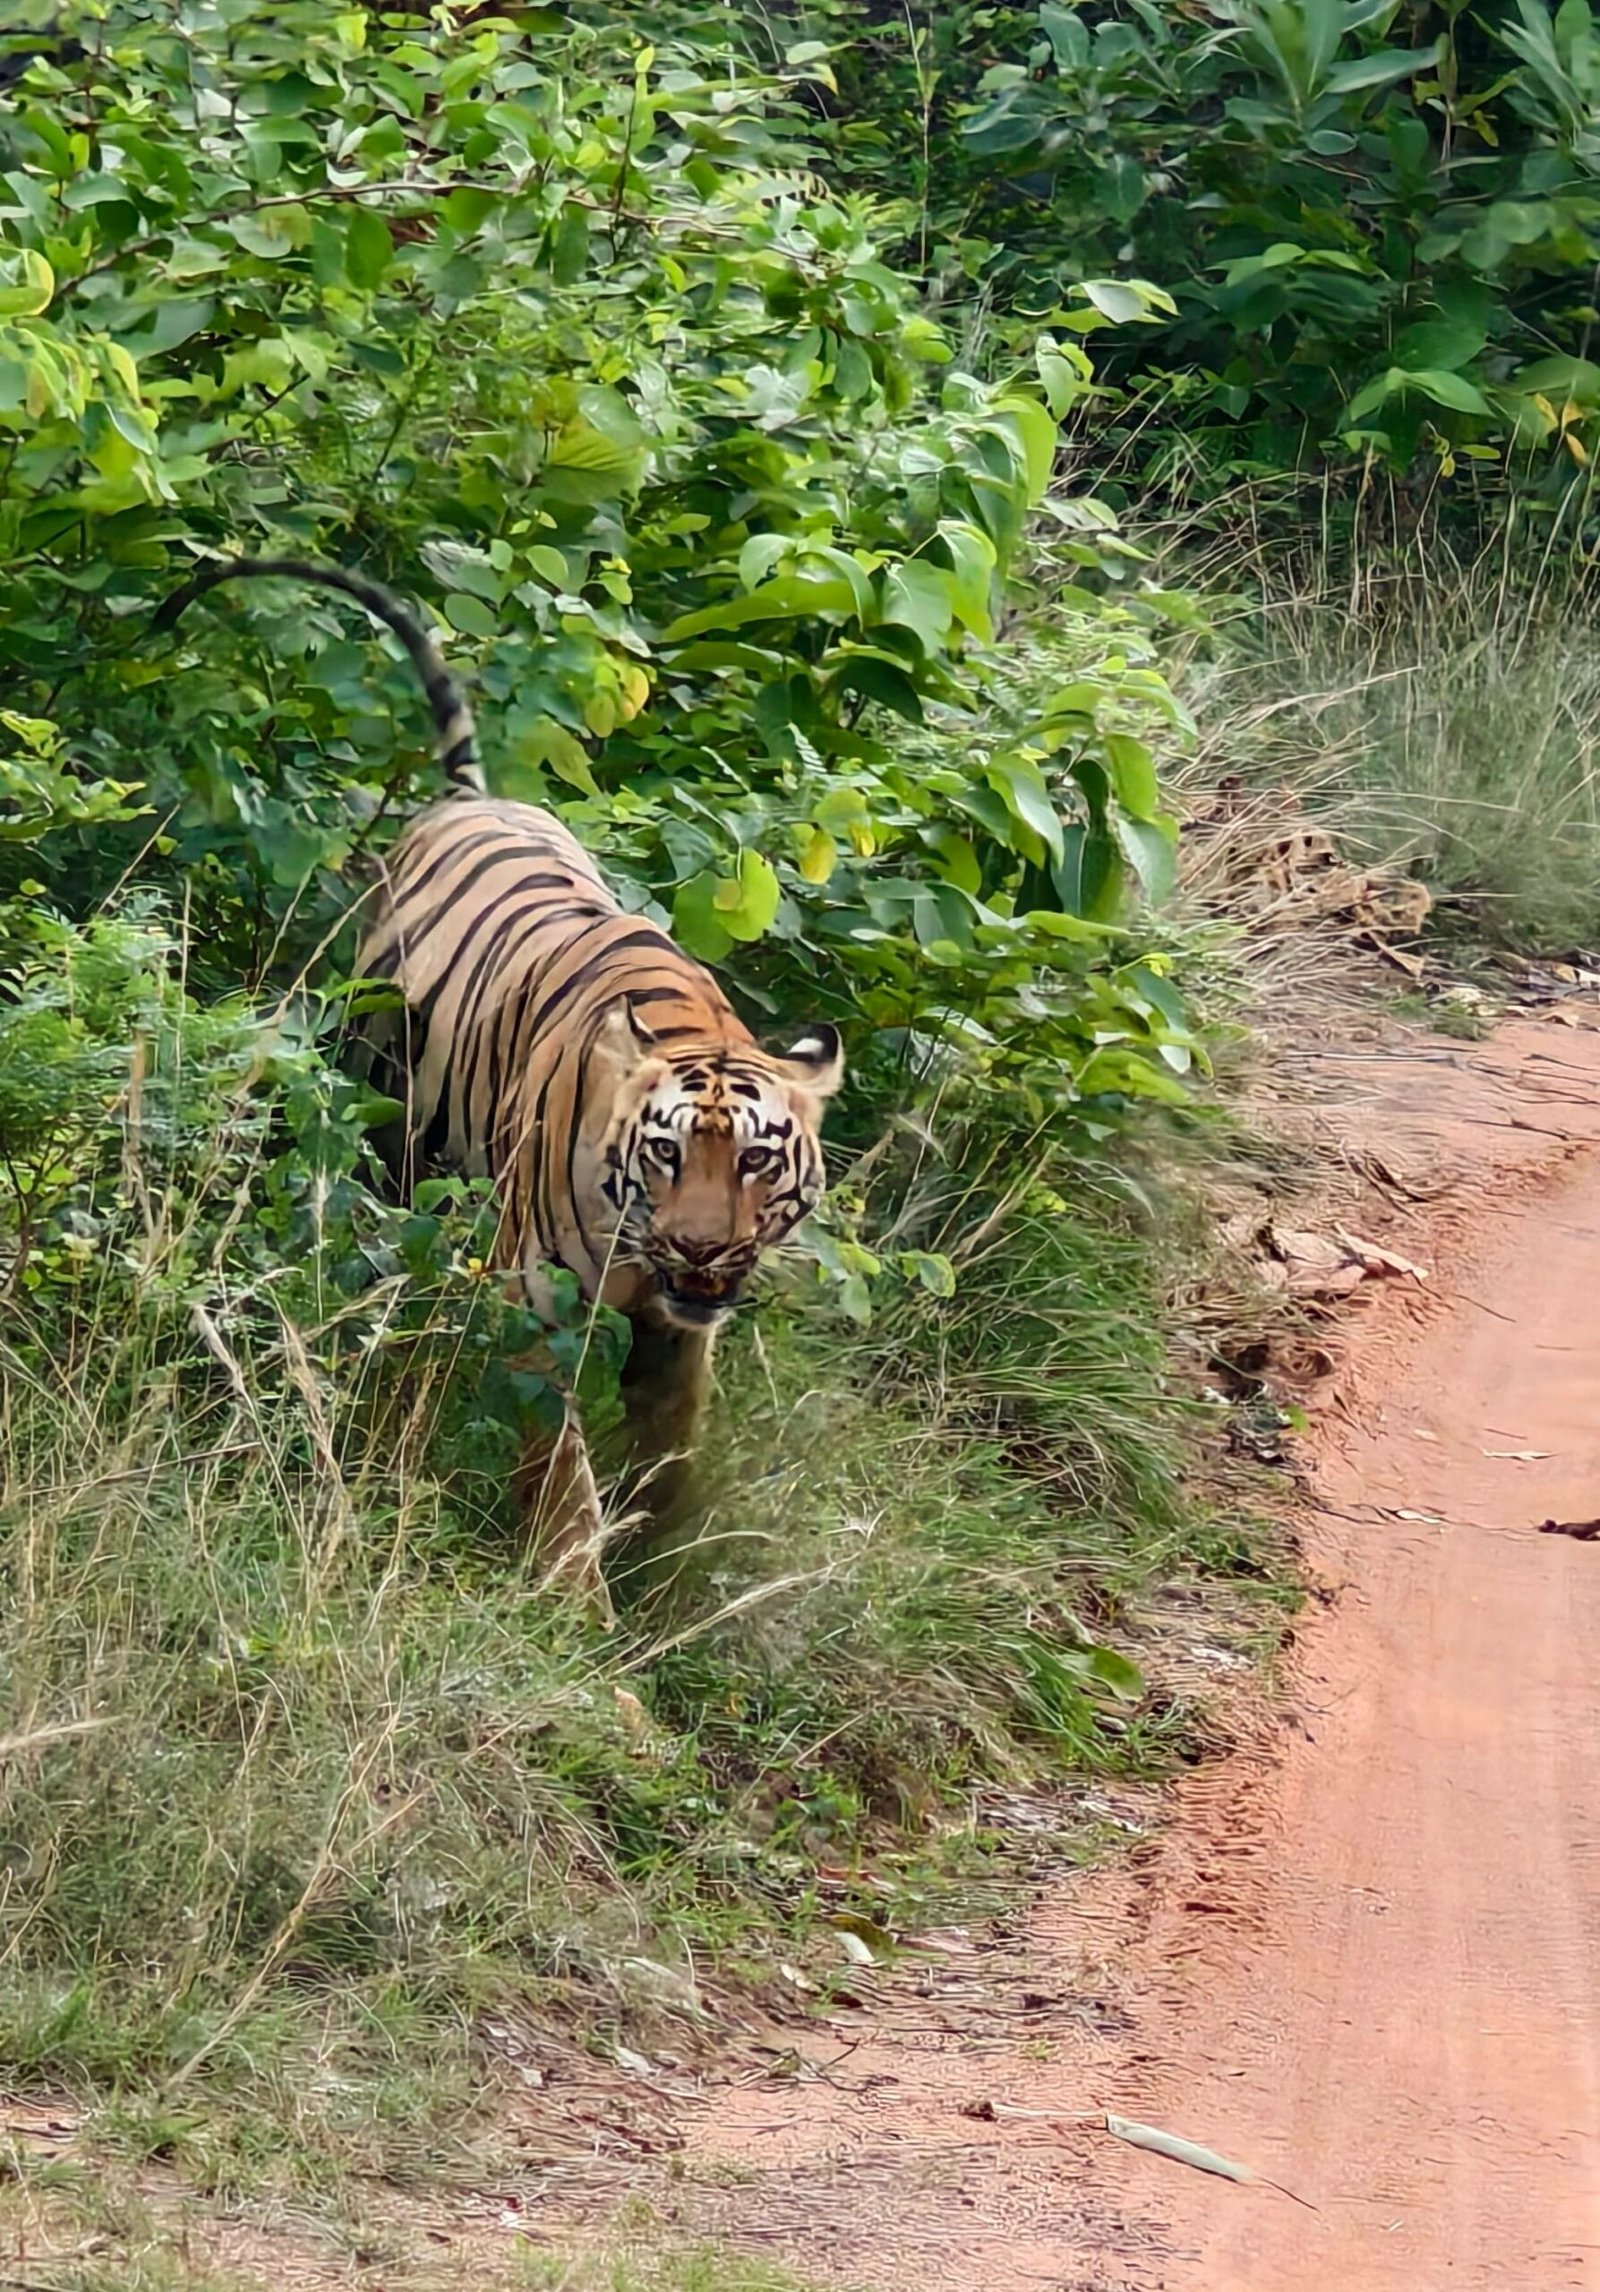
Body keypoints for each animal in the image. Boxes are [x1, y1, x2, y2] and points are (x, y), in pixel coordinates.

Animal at [154, 556, 844, 1606]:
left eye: (759, 1161)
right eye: (666, 1152)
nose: (700, 1250)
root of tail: (472, 797)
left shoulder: (681, 1331)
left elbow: (670, 1448)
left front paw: (665, 1569)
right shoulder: (540, 1297)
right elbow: (562, 1464)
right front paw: (572, 1595)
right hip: (385, 1116)